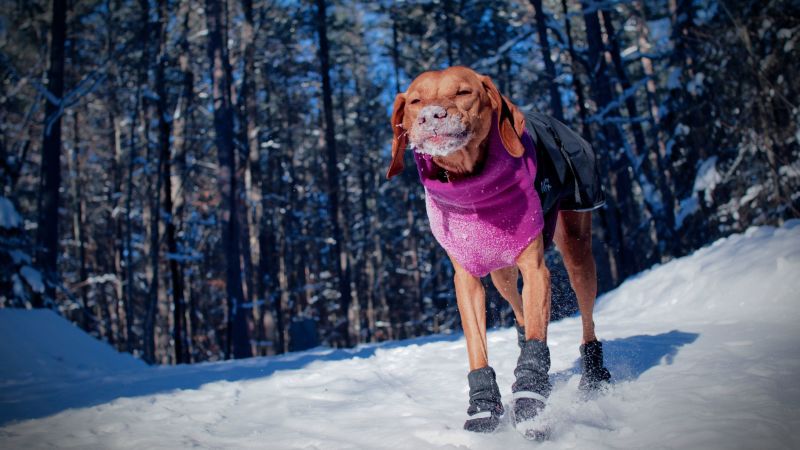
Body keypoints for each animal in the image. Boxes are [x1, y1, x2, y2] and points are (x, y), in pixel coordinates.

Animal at [388, 67, 612, 436]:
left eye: (463, 92)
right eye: (416, 100)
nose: (431, 116)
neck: (473, 189)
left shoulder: (535, 269)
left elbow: (536, 340)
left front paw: (530, 401)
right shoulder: (466, 279)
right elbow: (478, 347)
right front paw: (483, 408)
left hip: (577, 247)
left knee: (585, 312)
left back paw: (594, 375)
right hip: (499, 271)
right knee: (519, 309)